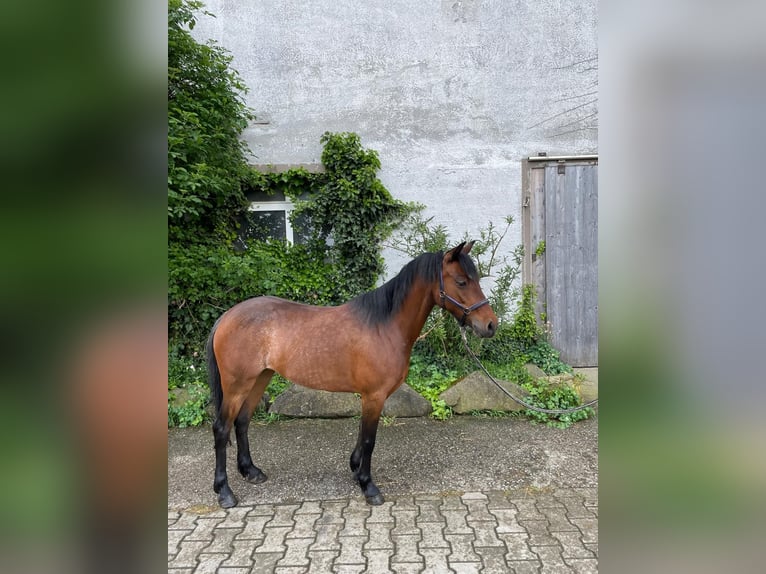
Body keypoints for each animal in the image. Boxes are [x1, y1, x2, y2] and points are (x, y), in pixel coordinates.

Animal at [207, 242, 500, 508]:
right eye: (461, 281)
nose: (490, 325)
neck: (385, 325)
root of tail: (226, 317)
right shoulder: (374, 396)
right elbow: (369, 439)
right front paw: (368, 486)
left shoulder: (368, 396)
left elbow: (361, 434)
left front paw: (355, 468)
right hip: (237, 385)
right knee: (222, 429)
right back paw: (225, 492)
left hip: (260, 378)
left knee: (242, 422)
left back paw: (251, 471)